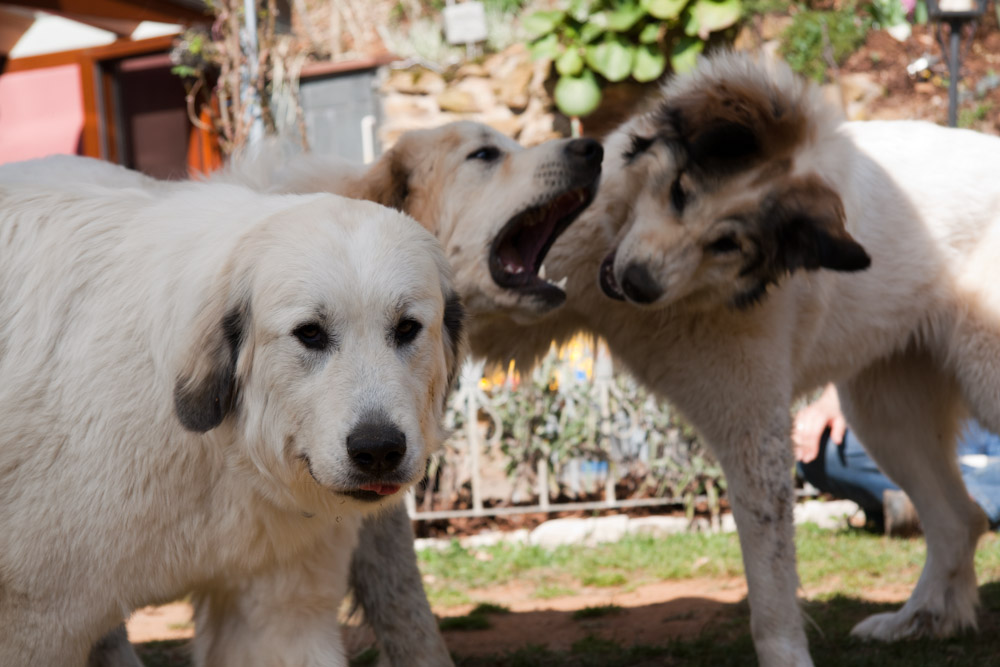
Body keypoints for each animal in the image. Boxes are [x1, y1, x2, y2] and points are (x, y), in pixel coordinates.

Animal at [0, 175, 462, 664]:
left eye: (407, 328)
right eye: (310, 333)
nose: (378, 450)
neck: (220, 452)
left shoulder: (278, 614)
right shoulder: (38, 624)